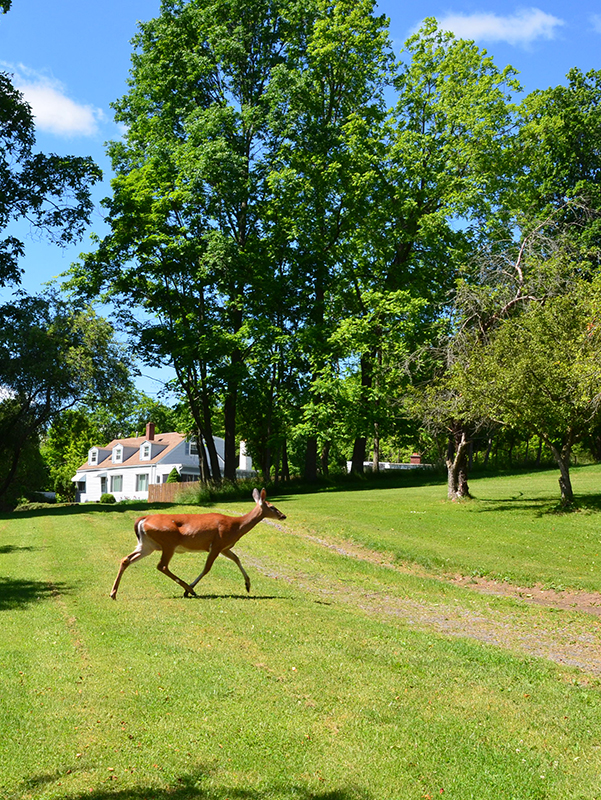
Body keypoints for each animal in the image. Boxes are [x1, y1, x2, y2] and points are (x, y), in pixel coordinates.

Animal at [109, 488, 286, 600]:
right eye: (273, 507)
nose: (283, 516)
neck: (236, 526)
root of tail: (142, 520)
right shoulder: (217, 543)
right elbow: (207, 568)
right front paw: (191, 588)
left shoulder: (224, 547)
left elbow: (237, 559)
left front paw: (248, 585)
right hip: (168, 542)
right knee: (162, 566)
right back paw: (189, 589)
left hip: (147, 545)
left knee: (126, 559)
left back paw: (113, 593)